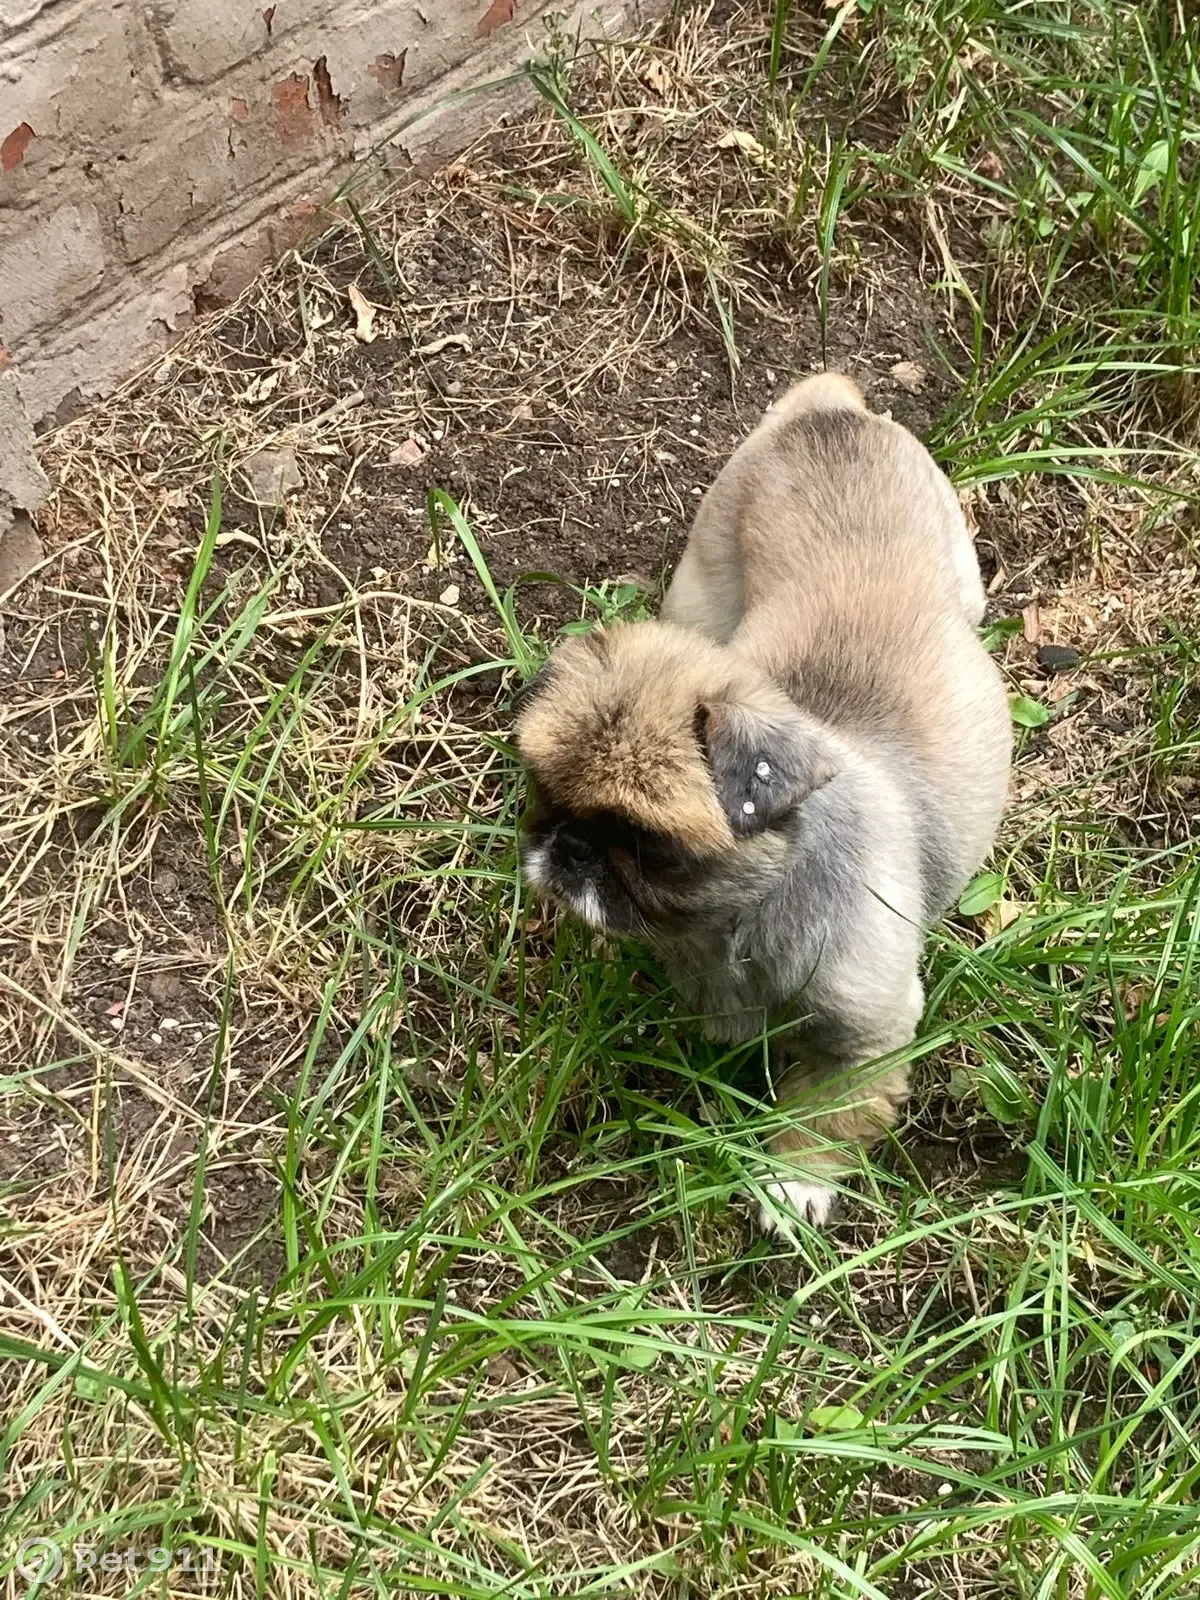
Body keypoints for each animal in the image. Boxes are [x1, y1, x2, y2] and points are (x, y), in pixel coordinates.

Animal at [518, 374, 1017, 1222]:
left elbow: (825, 1113)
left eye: (651, 847)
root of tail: (832, 411)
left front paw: (794, 1182)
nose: (571, 846)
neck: (733, 923)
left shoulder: (869, 1037)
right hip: (701, 599)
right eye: (541, 794)